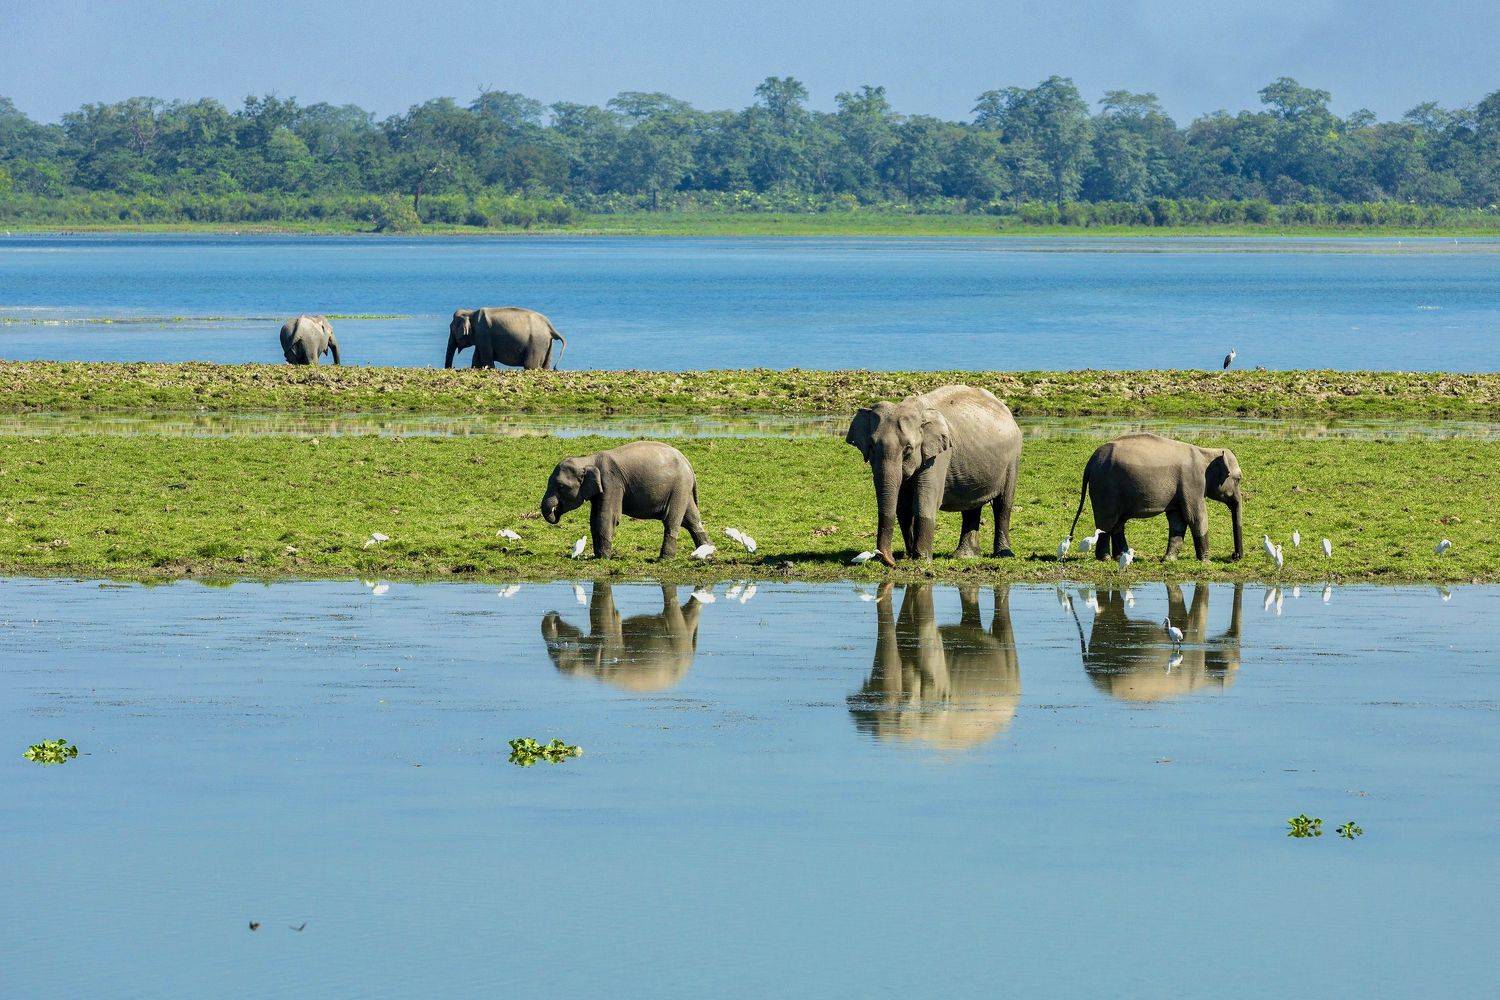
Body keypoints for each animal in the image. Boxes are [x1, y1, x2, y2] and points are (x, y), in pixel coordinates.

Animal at [541, 440, 710, 559]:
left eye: (561, 486)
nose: (556, 512)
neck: (588, 459)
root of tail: (687, 463)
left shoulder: (611, 483)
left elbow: (607, 516)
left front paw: (603, 558)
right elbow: (594, 517)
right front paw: (598, 556)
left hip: (679, 486)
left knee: (671, 520)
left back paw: (664, 559)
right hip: (683, 489)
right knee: (692, 520)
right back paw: (709, 555)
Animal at [845, 384, 1022, 567]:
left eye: (908, 448)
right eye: (872, 446)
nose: (892, 560)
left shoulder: (940, 454)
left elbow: (925, 499)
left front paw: (922, 559)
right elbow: (903, 505)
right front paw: (909, 556)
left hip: (1013, 458)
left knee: (1003, 505)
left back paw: (1003, 554)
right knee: (971, 506)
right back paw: (965, 556)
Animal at [1068, 433, 1244, 562]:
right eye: (1238, 479)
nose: (1234, 556)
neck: (1207, 452)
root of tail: (1091, 461)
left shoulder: (1182, 488)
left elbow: (1177, 521)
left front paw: (1169, 560)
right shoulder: (1192, 482)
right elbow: (1195, 517)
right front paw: (1206, 562)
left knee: (1118, 522)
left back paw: (1121, 557)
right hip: (1105, 488)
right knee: (1107, 521)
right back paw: (1105, 558)